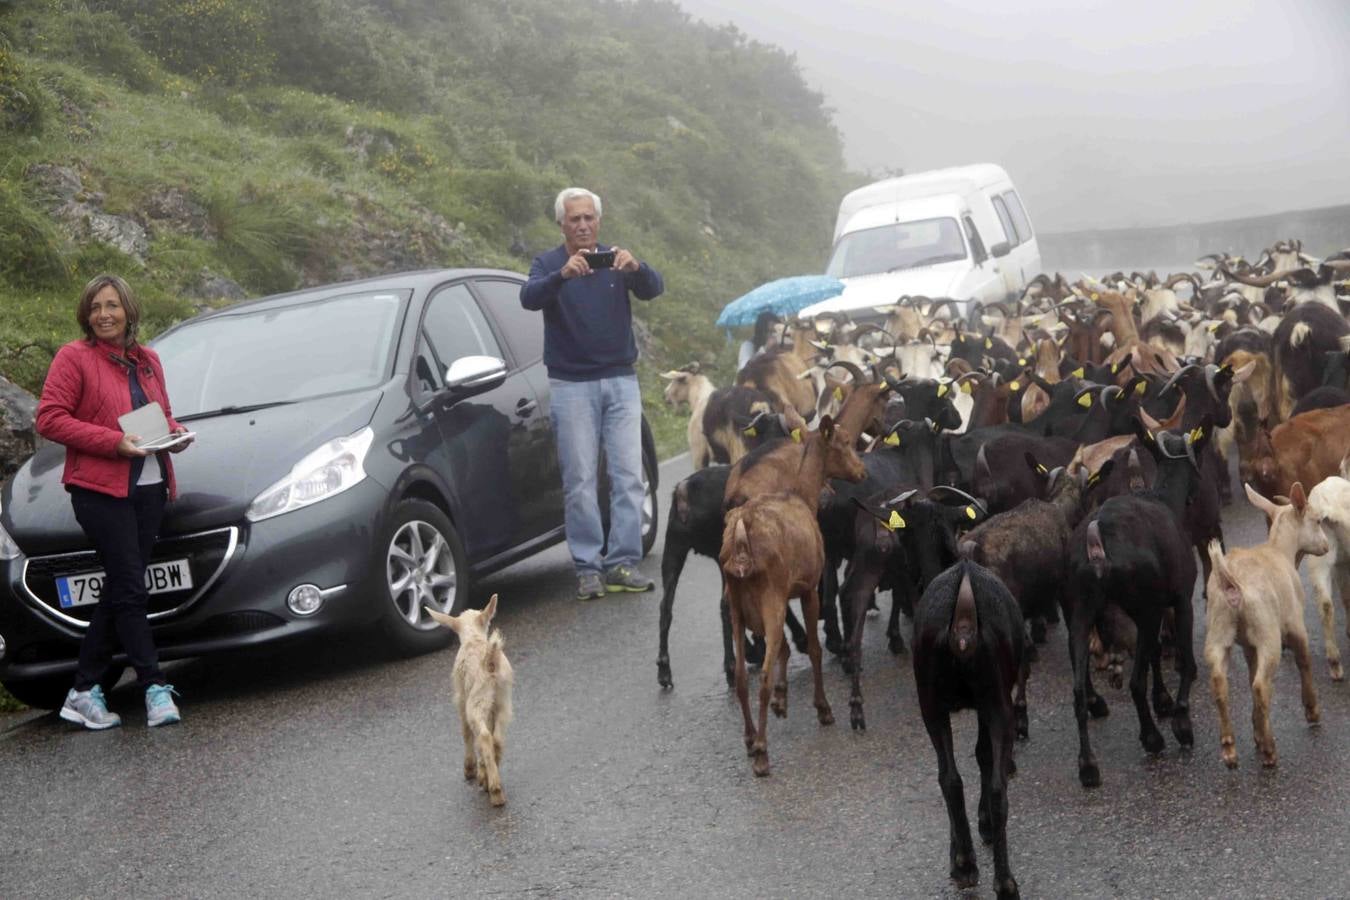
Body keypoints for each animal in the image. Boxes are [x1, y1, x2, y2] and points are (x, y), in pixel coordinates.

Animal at [907, 558, 1020, 895]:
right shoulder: (990, 706)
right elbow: (984, 756)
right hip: (996, 704)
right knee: (991, 786)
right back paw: (994, 876)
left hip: (933, 705)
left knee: (951, 779)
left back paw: (969, 865)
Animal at [1204, 483, 1328, 771]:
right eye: (1318, 521)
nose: (1327, 546)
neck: (1281, 550)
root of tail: (1230, 582)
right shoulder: (1295, 624)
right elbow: (1304, 661)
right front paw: (1312, 710)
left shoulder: (1249, 645)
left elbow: (1250, 675)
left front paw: (1256, 732)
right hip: (1268, 634)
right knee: (1261, 686)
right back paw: (1270, 751)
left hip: (1219, 631)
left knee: (1221, 683)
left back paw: (1230, 750)